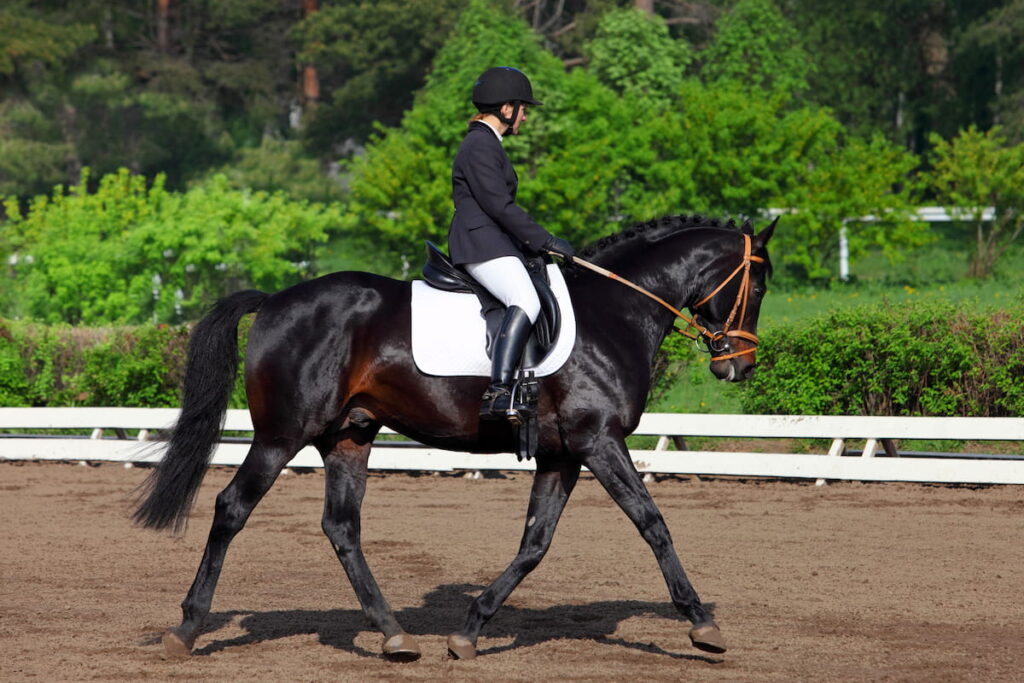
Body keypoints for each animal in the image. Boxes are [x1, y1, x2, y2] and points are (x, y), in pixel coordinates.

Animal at [136, 214, 774, 663]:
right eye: (760, 283)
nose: (738, 367)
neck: (614, 312)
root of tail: (273, 299)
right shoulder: (600, 442)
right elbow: (652, 523)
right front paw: (701, 624)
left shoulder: (563, 454)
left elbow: (535, 542)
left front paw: (469, 630)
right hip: (281, 435)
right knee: (231, 508)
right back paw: (187, 629)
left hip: (349, 437)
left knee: (341, 528)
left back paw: (394, 636)